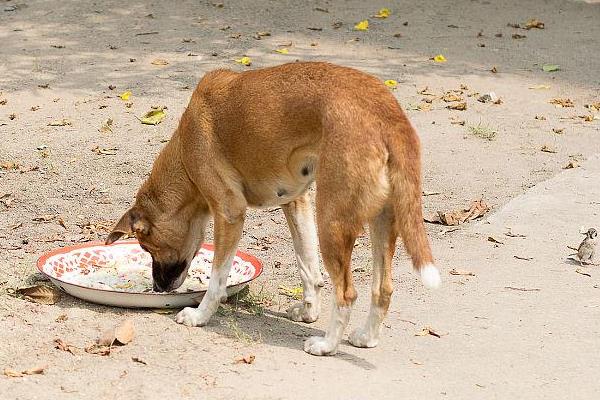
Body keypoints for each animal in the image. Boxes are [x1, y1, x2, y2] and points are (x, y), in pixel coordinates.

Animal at [105, 61, 438, 354]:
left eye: (147, 248)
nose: (158, 289)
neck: (186, 155)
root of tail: (387, 113)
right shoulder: (296, 203)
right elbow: (308, 269)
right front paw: (308, 313)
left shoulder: (230, 213)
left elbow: (217, 279)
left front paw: (199, 316)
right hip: (381, 222)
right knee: (383, 289)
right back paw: (367, 337)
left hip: (331, 221)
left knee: (347, 293)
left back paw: (327, 345)